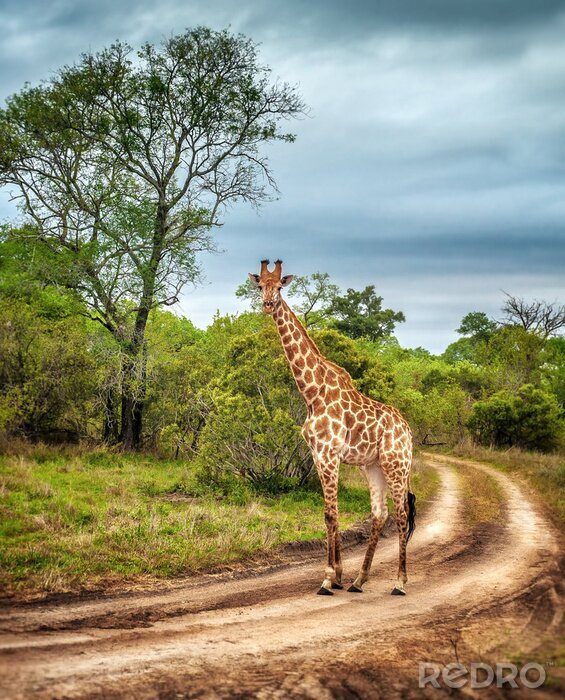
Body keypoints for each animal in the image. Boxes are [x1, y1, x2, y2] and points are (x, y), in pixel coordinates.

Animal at [249, 259, 416, 596]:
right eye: (260, 285)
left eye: (280, 286)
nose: (268, 305)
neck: (312, 392)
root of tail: (407, 431)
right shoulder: (318, 454)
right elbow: (332, 513)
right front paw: (338, 576)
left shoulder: (329, 454)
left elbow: (330, 513)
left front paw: (327, 579)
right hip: (373, 466)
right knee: (380, 514)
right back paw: (359, 580)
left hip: (396, 464)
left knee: (402, 514)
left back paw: (400, 582)